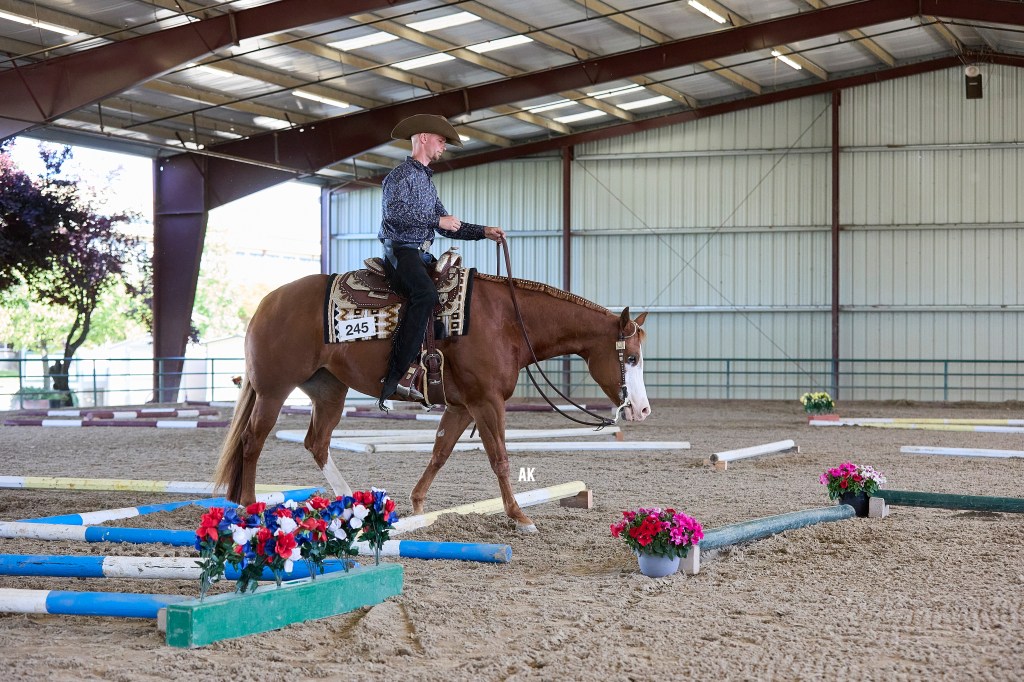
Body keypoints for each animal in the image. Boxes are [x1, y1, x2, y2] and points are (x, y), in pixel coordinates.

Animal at [214, 267, 651, 532]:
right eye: (630, 357)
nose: (643, 409)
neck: (507, 321)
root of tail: (266, 304)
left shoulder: (461, 407)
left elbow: (440, 453)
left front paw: (419, 505)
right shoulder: (487, 402)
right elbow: (500, 459)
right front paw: (520, 517)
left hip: (329, 390)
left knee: (316, 442)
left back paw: (348, 500)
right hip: (274, 391)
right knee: (252, 442)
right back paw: (249, 507)